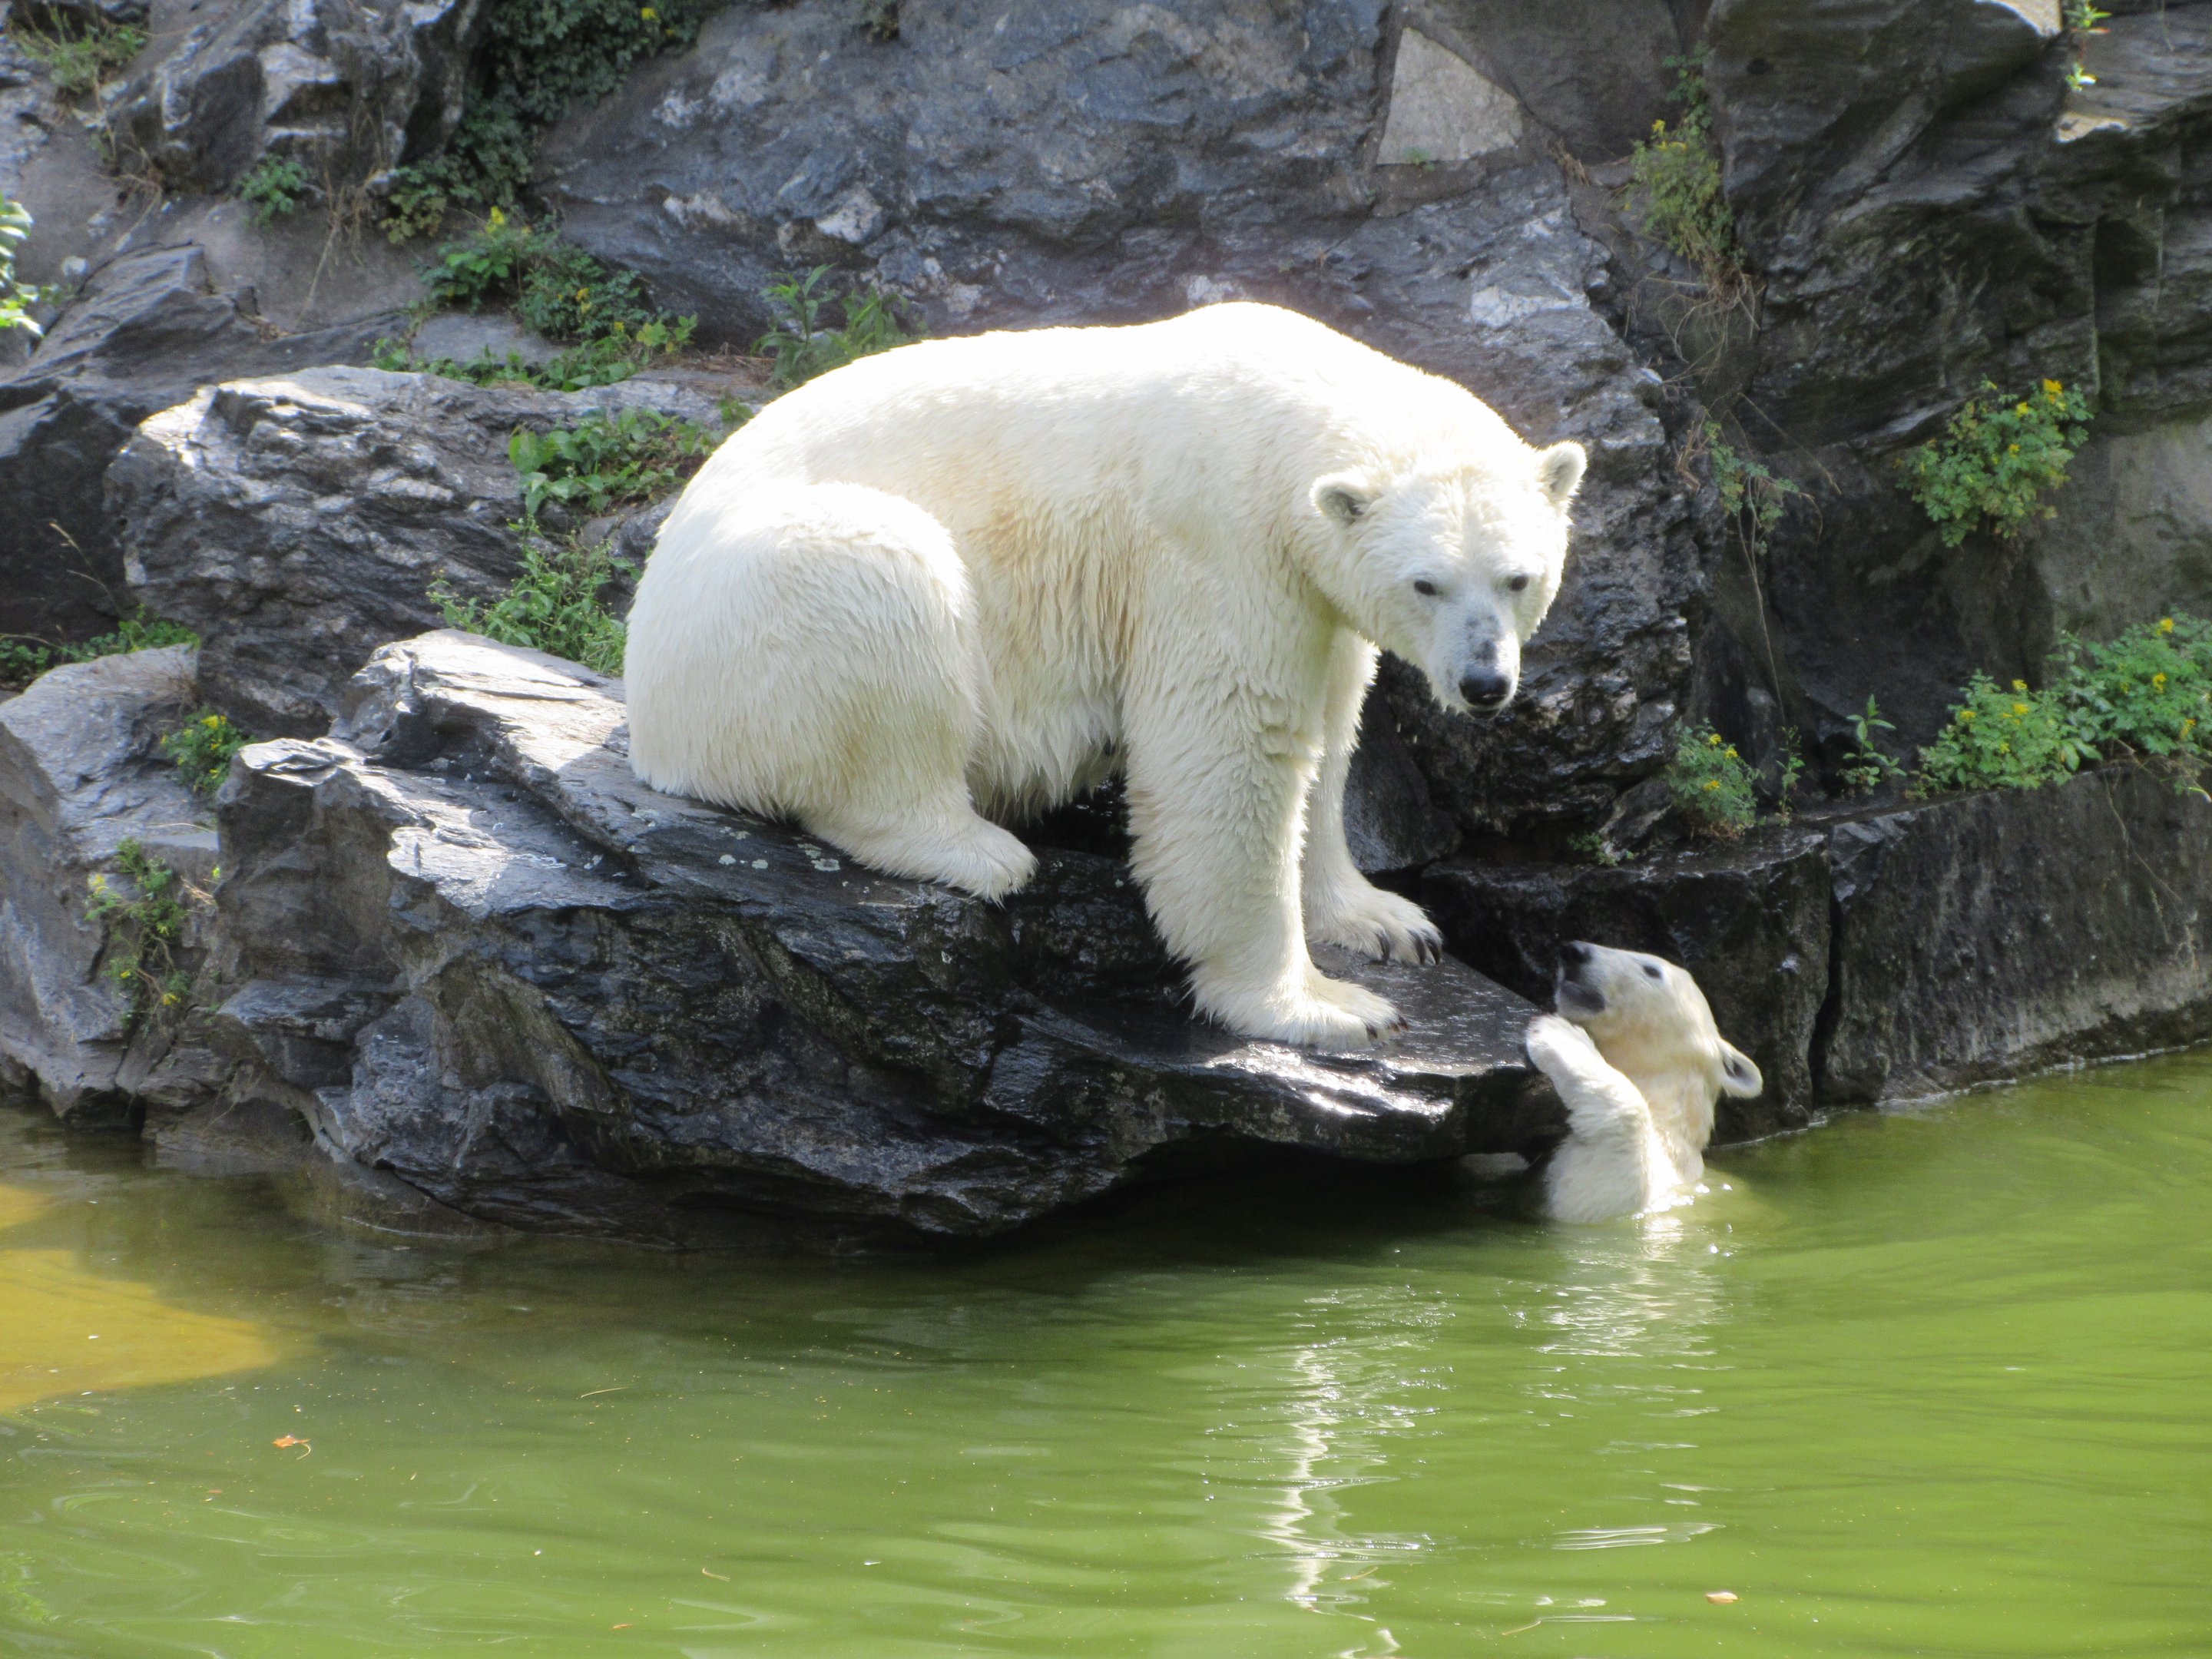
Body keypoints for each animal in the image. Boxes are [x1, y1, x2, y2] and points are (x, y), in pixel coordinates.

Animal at [625, 302, 1586, 1048]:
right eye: (1426, 583)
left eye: (1518, 577)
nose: (1485, 684)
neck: (1286, 414)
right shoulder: (1216, 544)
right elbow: (1232, 745)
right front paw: (1323, 1007)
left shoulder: (1313, 590)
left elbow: (1328, 726)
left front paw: (1383, 921)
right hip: (748, 620)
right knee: (883, 580)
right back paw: (979, 851)